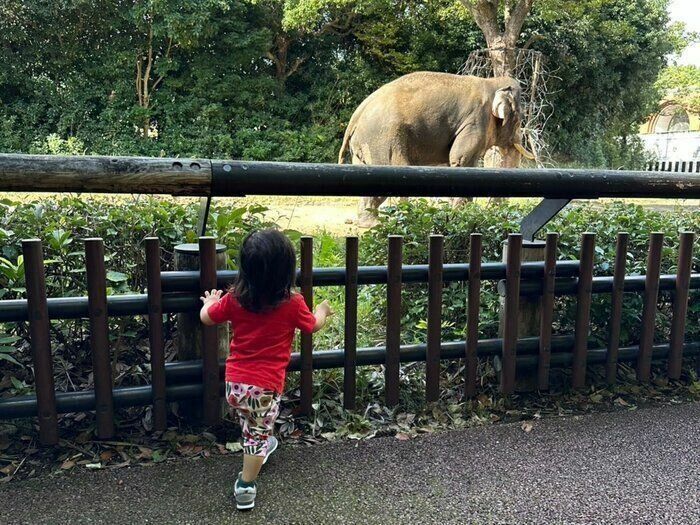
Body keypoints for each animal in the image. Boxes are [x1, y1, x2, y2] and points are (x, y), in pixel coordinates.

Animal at [336, 70, 532, 224]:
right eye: (520, 118)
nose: (496, 211)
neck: (491, 82)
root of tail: (357, 114)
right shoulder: (475, 121)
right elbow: (460, 160)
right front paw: (462, 215)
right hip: (383, 138)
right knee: (395, 168)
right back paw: (392, 220)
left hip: (363, 144)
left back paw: (367, 222)